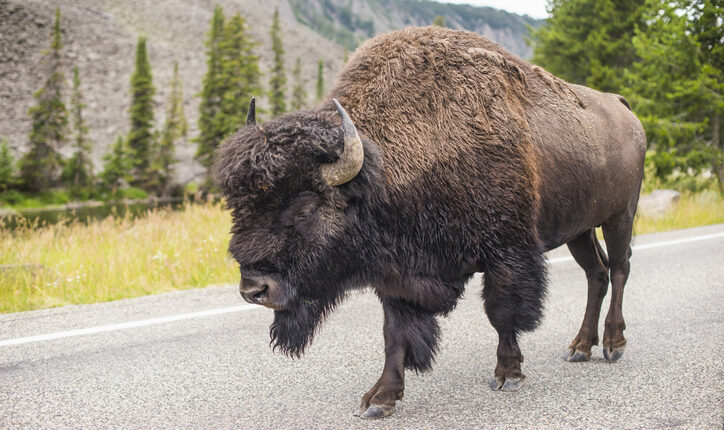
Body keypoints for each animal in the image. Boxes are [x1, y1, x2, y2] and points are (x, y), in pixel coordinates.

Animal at [215, 26, 646, 419]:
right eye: (238, 207)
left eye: (306, 209)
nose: (254, 289)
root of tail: (622, 106)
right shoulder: (396, 275)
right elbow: (395, 334)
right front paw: (380, 399)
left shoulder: (507, 253)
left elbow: (502, 313)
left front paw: (508, 374)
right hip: (581, 228)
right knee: (597, 273)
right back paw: (580, 347)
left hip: (620, 214)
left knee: (620, 268)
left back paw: (613, 344)